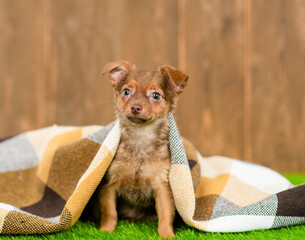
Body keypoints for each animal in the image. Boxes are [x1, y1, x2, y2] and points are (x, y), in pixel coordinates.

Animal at [98, 60, 188, 238]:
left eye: (156, 96)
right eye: (126, 92)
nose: (135, 107)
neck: (141, 136)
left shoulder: (162, 186)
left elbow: (166, 214)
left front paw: (167, 234)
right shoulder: (109, 183)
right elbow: (110, 211)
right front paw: (105, 231)